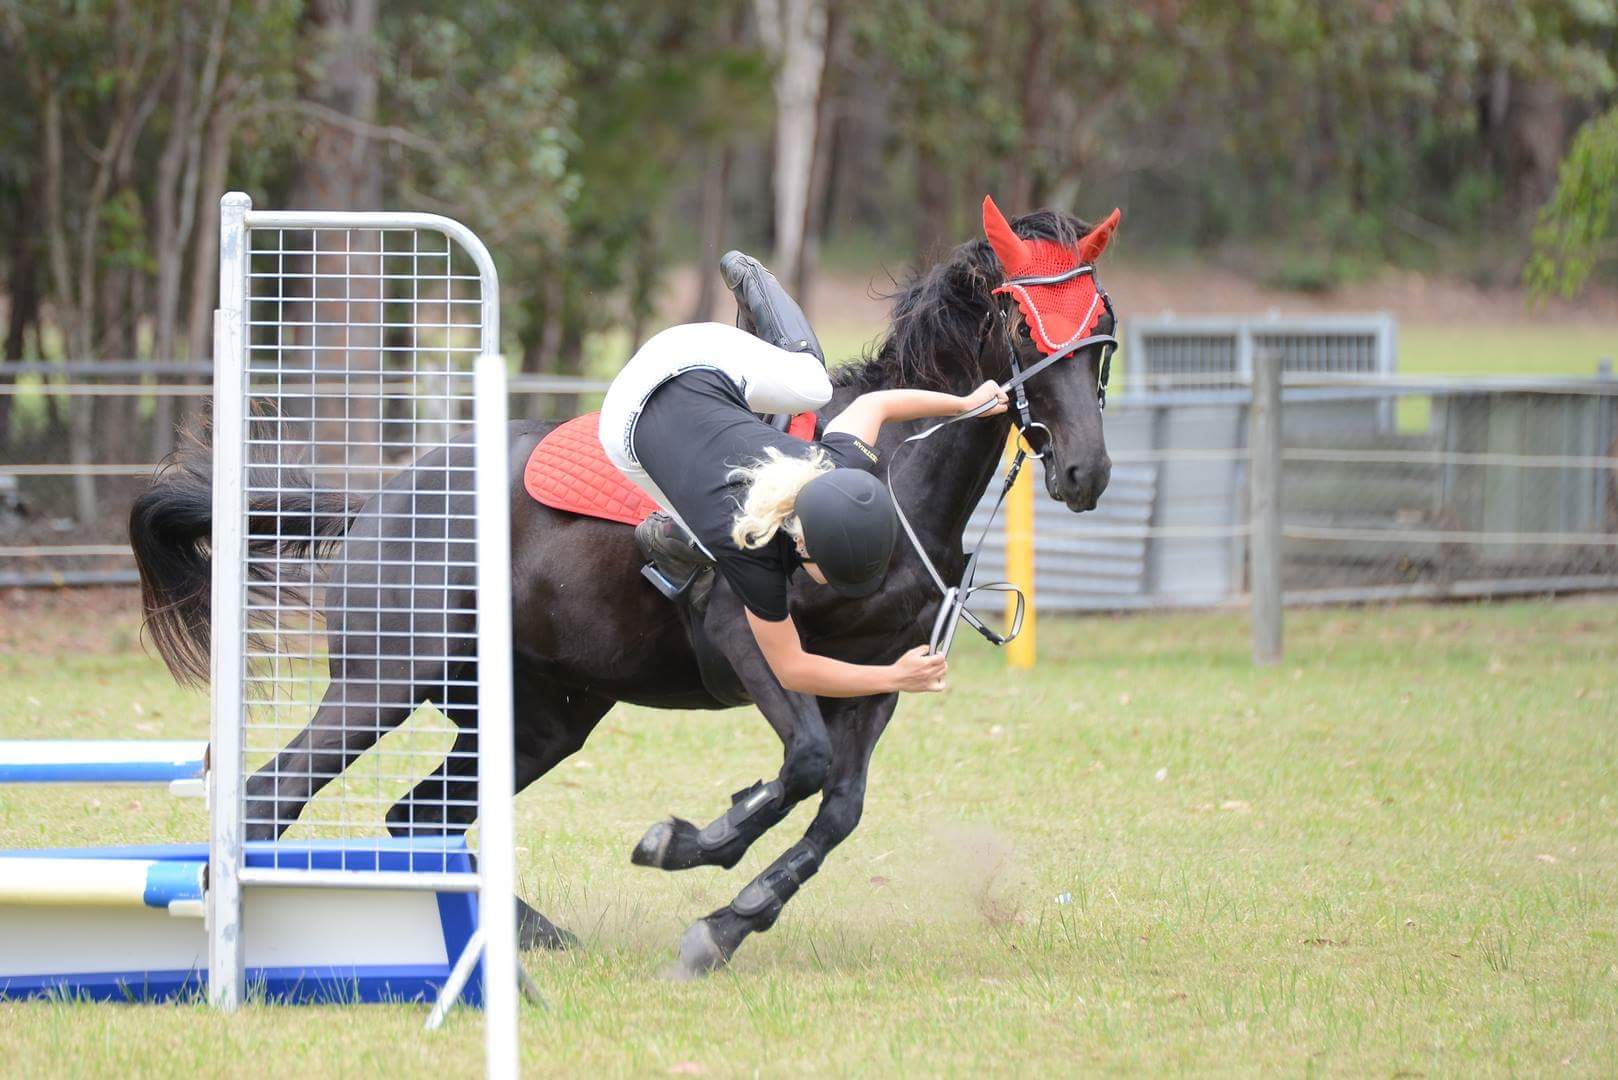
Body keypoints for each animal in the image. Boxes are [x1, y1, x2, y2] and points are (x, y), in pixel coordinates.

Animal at [132, 208, 1113, 977]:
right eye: (1024, 327)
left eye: (1102, 333)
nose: (1086, 472)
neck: (890, 481)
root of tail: (380, 497)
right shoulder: (744, 634)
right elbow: (802, 767)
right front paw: (690, 846)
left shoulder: (873, 681)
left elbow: (839, 808)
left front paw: (728, 924)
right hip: (382, 684)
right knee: (273, 796)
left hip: (539, 717)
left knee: (418, 819)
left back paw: (523, 935)